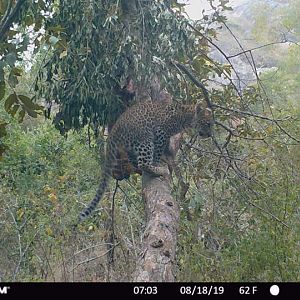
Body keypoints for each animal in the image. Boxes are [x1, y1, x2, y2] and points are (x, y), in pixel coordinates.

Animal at [78, 101, 212, 220]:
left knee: (135, 163)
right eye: (207, 123)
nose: (210, 135)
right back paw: (159, 170)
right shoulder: (161, 132)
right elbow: (158, 151)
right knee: (143, 163)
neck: (185, 117)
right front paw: (157, 161)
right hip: (145, 139)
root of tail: (114, 131)